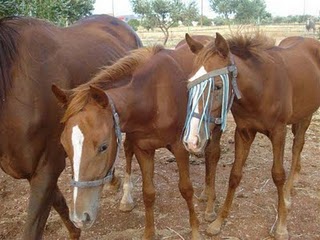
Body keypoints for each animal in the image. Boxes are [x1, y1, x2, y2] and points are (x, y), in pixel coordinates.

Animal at [51, 36, 214, 240]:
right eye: (64, 146)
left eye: (103, 147)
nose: (80, 218)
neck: (154, 95)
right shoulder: (142, 148)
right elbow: (148, 193)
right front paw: (149, 233)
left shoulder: (179, 146)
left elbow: (186, 189)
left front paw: (195, 231)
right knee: (127, 150)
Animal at [182, 32, 320, 239]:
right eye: (190, 85)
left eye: (217, 87)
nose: (191, 142)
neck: (261, 88)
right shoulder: (244, 132)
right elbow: (235, 175)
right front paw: (218, 221)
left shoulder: (279, 132)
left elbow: (278, 175)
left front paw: (281, 225)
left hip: (306, 115)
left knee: (297, 147)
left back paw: (288, 192)